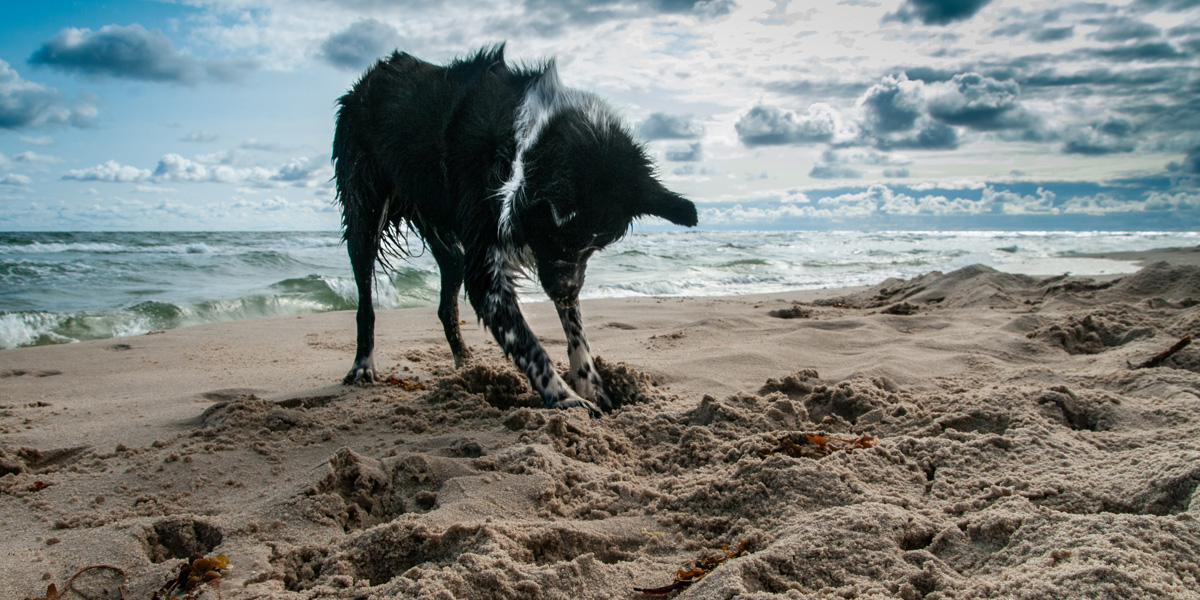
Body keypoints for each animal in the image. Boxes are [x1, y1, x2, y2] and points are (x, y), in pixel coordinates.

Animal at [333, 44, 700, 417]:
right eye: (557, 238)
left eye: (597, 246)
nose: (566, 293)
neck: (522, 143)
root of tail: (372, 75)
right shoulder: (489, 266)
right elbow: (528, 344)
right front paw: (566, 398)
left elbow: (576, 328)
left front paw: (590, 382)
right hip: (365, 209)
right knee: (365, 299)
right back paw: (362, 365)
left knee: (449, 276)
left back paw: (465, 361)